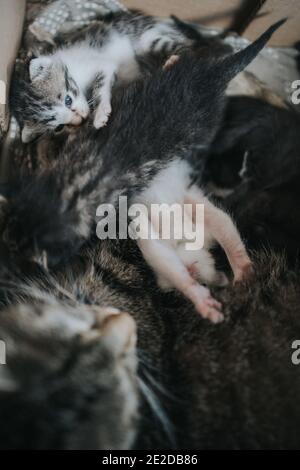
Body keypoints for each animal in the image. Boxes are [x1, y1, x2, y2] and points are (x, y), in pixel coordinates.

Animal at [11, 11, 196, 142]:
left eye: (68, 100)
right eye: (59, 126)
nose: (81, 119)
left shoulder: (101, 64)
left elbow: (99, 87)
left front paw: (100, 113)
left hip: (149, 39)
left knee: (188, 46)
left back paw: (173, 59)